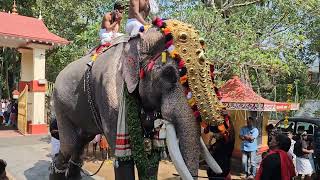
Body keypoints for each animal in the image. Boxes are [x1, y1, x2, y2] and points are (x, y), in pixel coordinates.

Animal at [51, 19, 224, 179]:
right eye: (168, 74)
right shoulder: (108, 94)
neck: (138, 40)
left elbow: (152, 155)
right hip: (59, 104)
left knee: (80, 144)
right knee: (69, 145)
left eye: (211, 71)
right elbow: (123, 157)